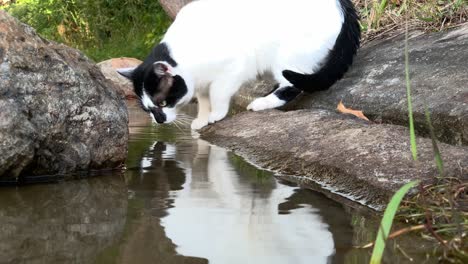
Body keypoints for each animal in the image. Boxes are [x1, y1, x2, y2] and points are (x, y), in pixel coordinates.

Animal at [119, 0, 360, 130]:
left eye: (162, 103)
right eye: (147, 109)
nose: (158, 120)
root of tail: (343, 4)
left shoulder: (233, 68)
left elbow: (217, 93)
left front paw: (216, 114)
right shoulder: (200, 83)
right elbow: (203, 99)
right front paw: (202, 118)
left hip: (288, 55)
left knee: (292, 83)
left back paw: (261, 103)